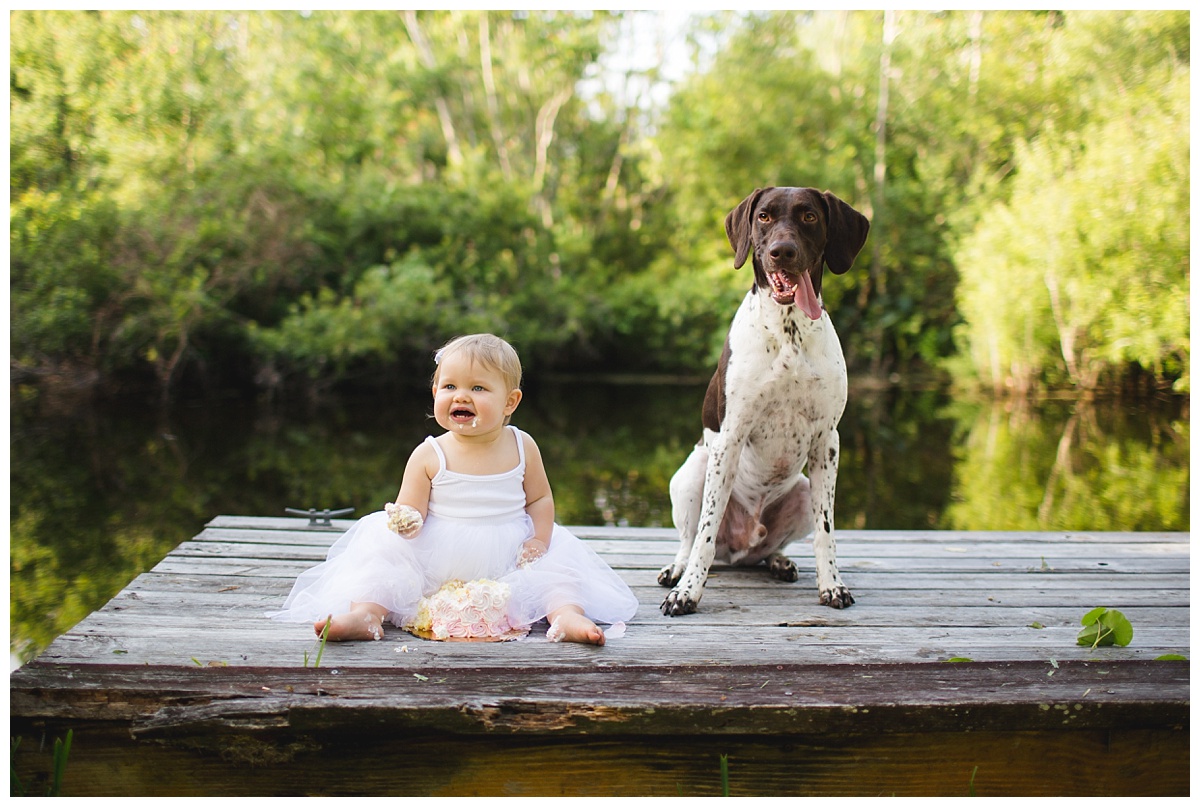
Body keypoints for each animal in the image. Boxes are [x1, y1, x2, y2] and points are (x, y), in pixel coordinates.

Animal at [662, 189, 868, 614]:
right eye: (764, 217)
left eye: (809, 216)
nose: (782, 251)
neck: (789, 330)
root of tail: (741, 547)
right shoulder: (730, 437)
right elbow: (705, 532)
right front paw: (688, 592)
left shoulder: (828, 441)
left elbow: (826, 532)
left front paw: (832, 585)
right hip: (694, 471)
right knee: (691, 538)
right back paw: (677, 569)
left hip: (802, 491)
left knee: (770, 547)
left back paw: (778, 560)